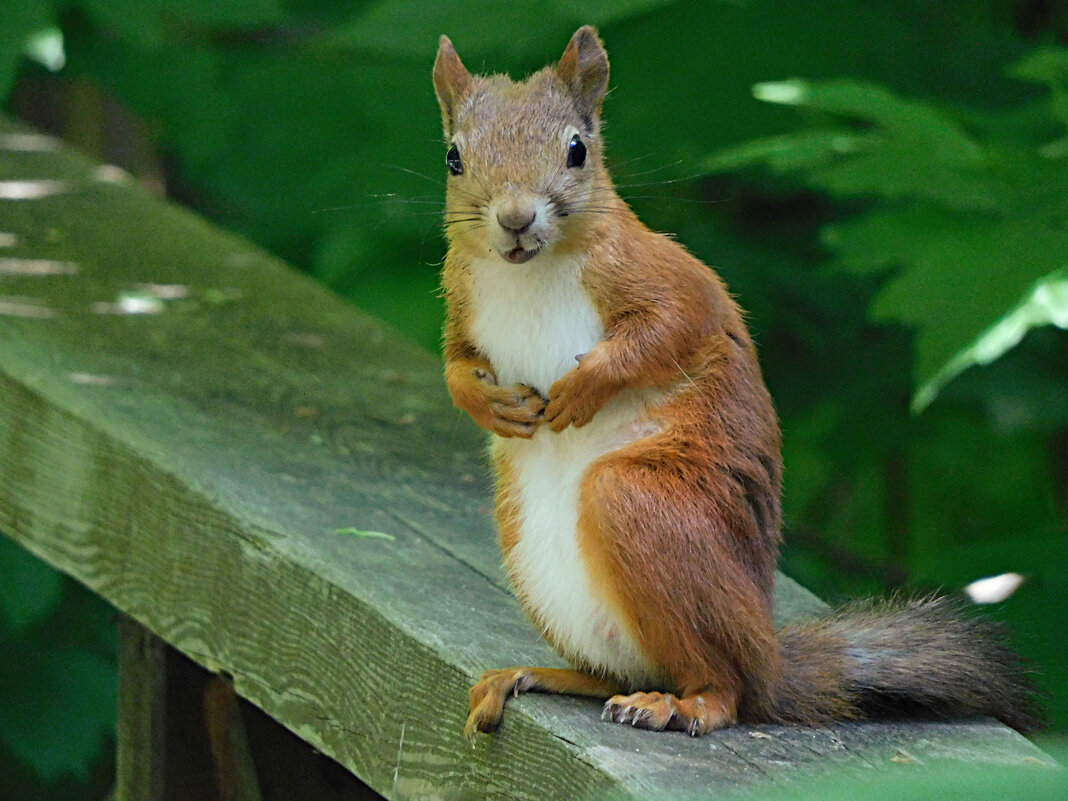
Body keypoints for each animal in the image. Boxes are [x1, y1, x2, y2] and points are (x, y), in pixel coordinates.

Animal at [433, 26, 1038, 738]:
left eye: (577, 150)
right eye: (453, 157)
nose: (516, 218)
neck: (527, 274)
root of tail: (770, 658)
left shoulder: (661, 275)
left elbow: (668, 329)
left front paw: (584, 388)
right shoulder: (462, 303)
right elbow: (454, 364)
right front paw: (487, 402)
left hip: (649, 512)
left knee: (725, 687)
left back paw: (683, 703)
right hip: (528, 545)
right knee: (615, 670)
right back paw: (538, 675)